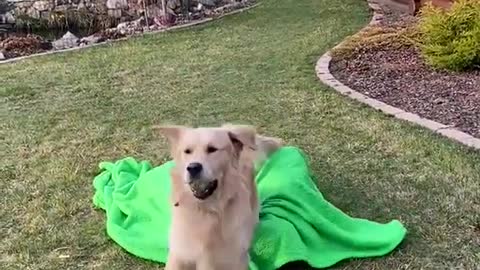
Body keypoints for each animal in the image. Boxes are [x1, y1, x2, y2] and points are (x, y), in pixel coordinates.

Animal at [154, 124, 284, 270]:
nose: (192, 167)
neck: (206, 211)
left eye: (212, 149)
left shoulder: (233, 260)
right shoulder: (180, 255)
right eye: (187, 151)